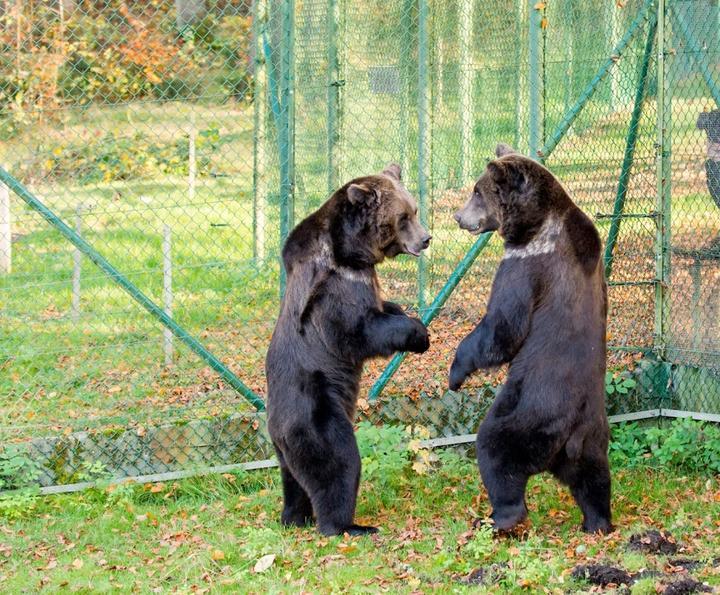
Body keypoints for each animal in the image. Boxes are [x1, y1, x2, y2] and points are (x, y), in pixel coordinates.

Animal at [268, 165, 430, 536]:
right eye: (404, 216)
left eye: (413, 210)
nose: (426, 238)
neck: (354, 252)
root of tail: (276, 430)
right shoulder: (336, 288)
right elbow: (358, 332)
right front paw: (419, 333)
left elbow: (384, 308)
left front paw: (400, 310)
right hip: (315, 413)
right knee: (337, 463)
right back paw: (347, 525)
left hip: (286, 448)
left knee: (293, 481)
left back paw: (294, 517)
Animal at [450, 143, 612, 536]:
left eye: (477, 191)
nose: (459, 216)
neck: (534, 224)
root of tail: (568, 437)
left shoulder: (525, 266)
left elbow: (502, 328)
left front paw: (455, 373)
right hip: (593, 437)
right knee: (594, 477)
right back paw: (597, 521)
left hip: (528, 413)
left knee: (496, 451)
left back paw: (500, 517)